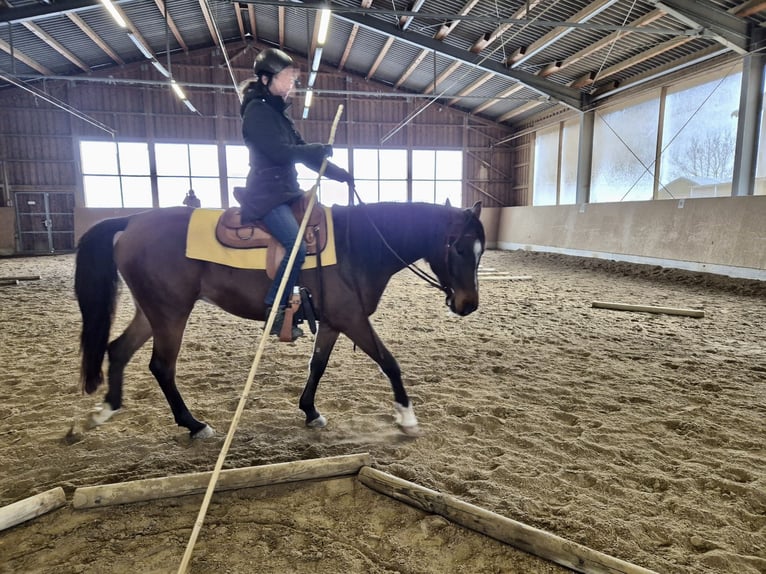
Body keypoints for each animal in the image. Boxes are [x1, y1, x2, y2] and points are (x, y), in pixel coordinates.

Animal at [73, 200, 486, 438]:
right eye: (460, 248)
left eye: (482, 251)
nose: (468, 304)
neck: (358, 244)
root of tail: (132, 221)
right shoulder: (352, 319)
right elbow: (390, 362)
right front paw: (407, 418)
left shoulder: (333, 322)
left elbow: (317, 366)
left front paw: (311, 412)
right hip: (171, 312)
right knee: (161, 366)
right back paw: (194, 424)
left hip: (152, 311)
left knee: (118, 350)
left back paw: (103, 412)